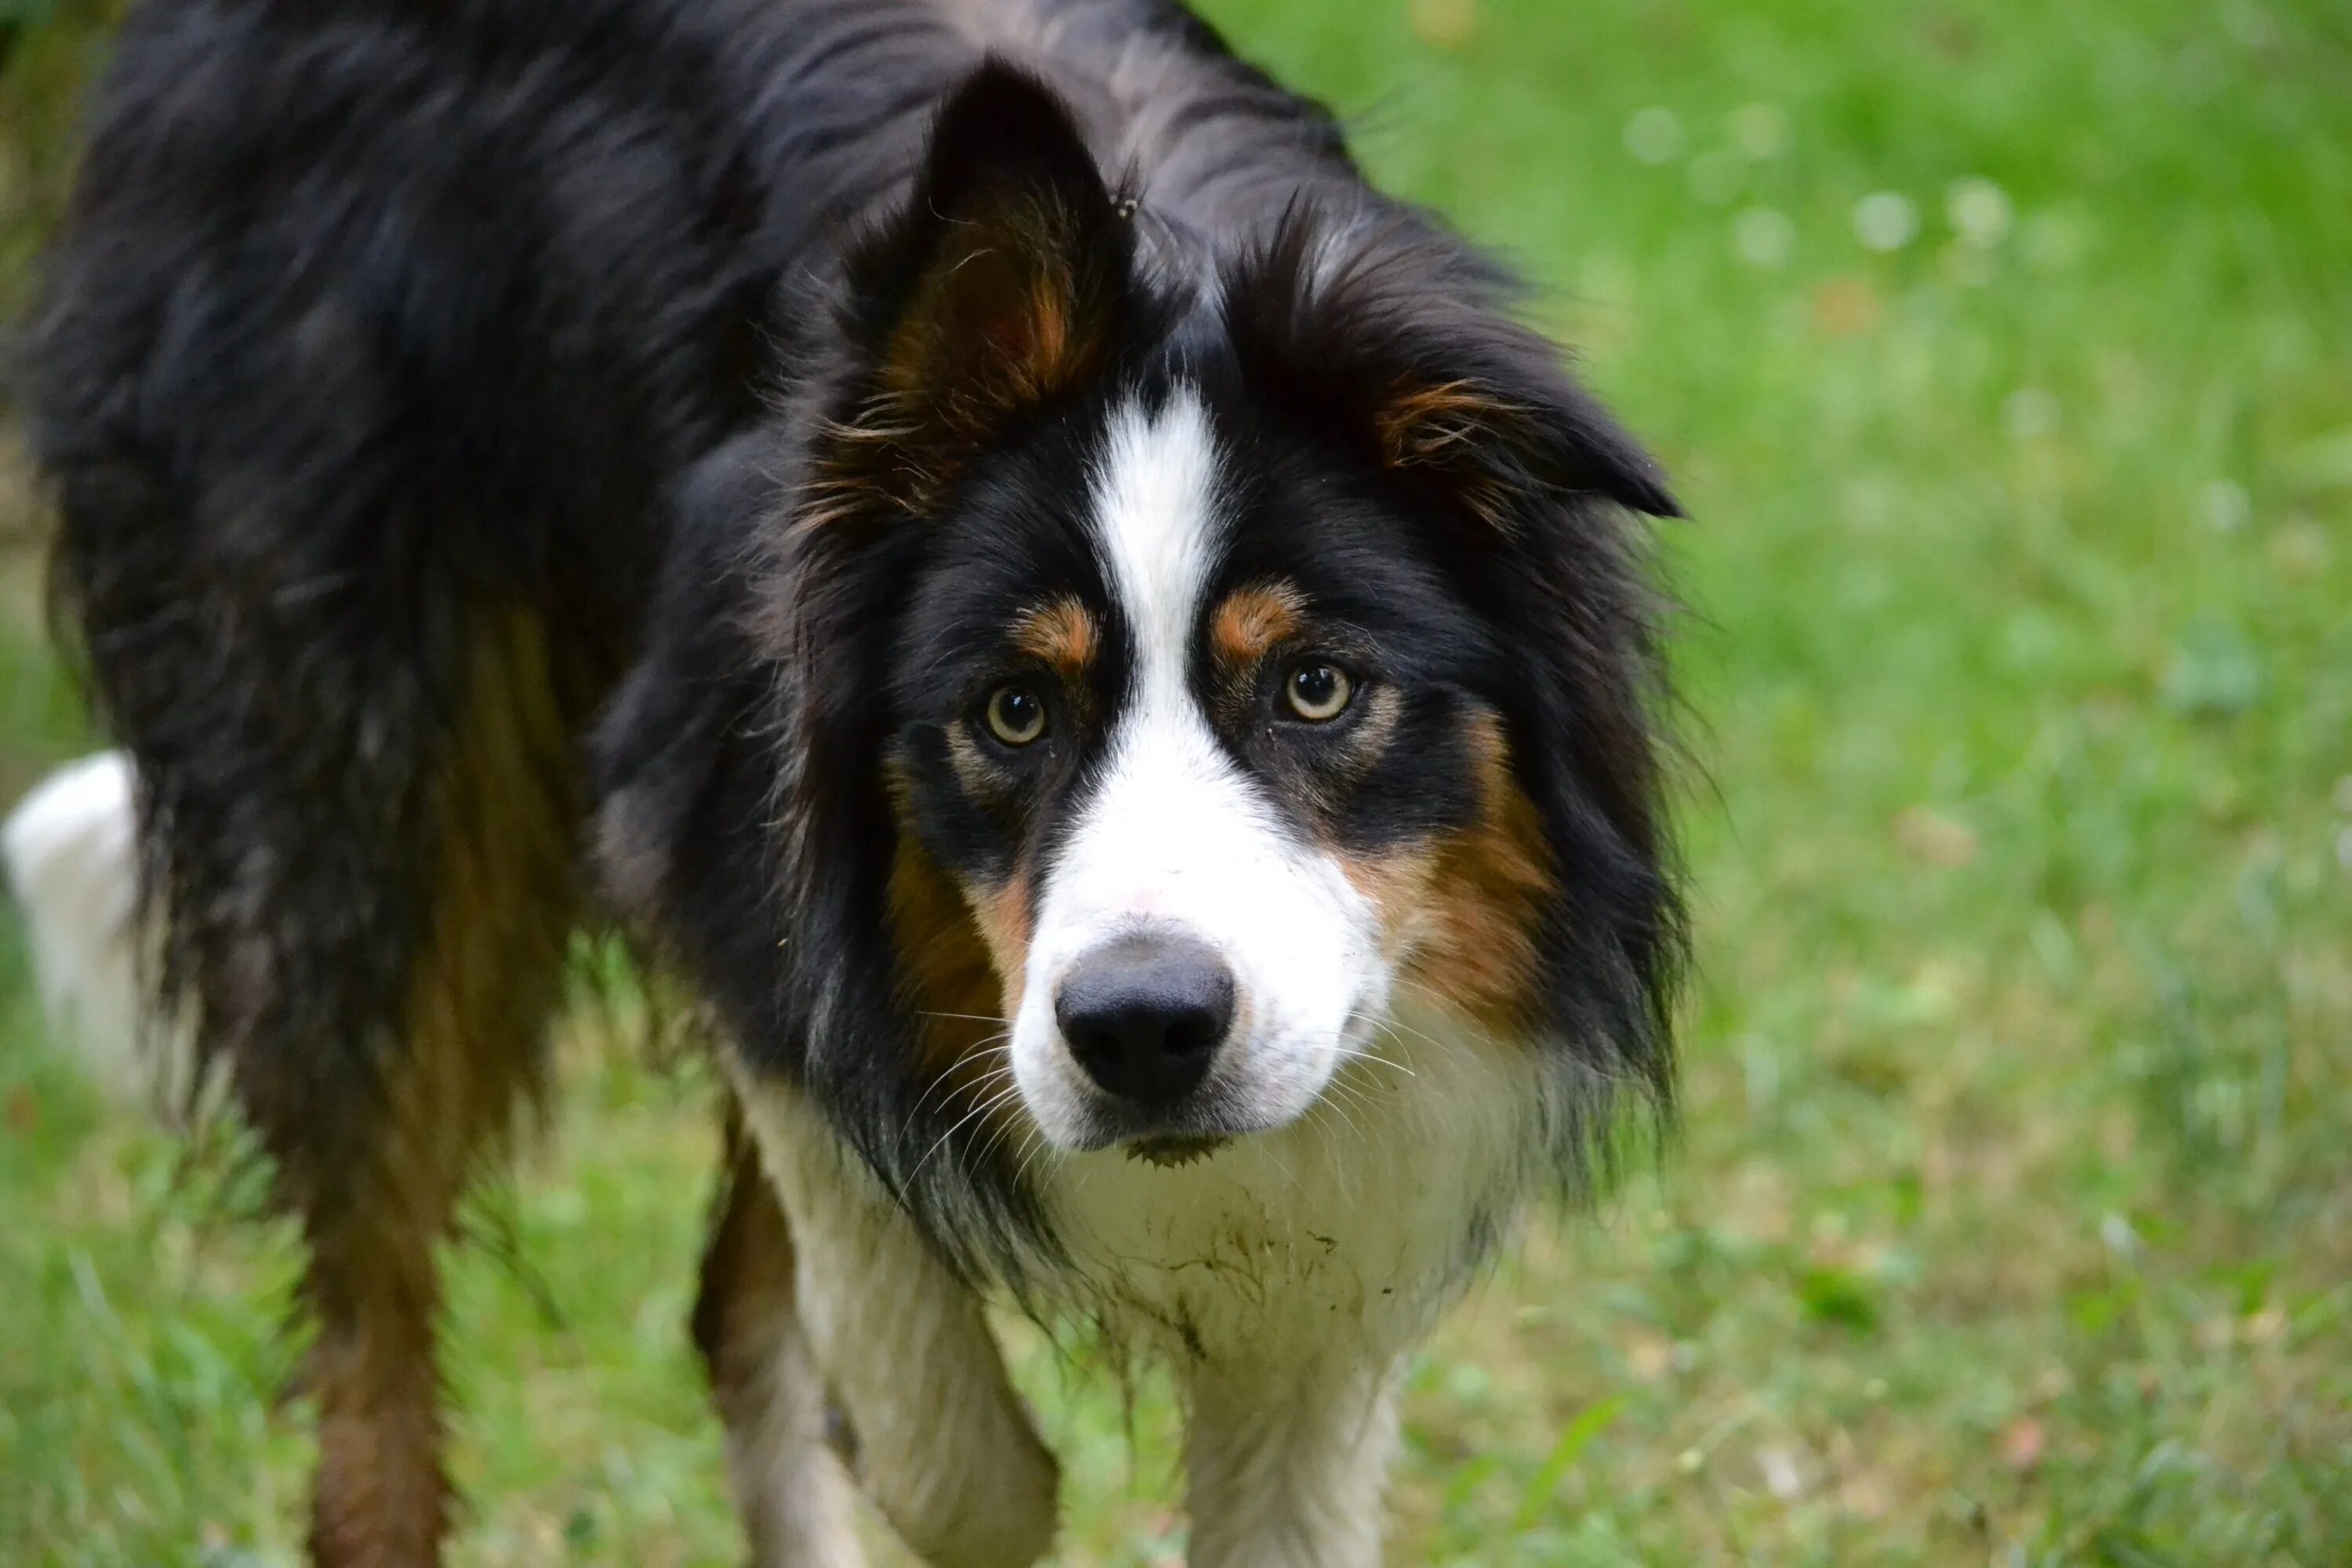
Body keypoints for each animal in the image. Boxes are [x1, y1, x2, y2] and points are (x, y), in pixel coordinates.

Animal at [9, 2, 1684, 1568]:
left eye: (1316, 687)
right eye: (1012, 711)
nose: (1142, 1034)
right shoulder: (725, 850)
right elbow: (960, 1461)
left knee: (721, 1308)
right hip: (358, 785)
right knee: (379, 1332)